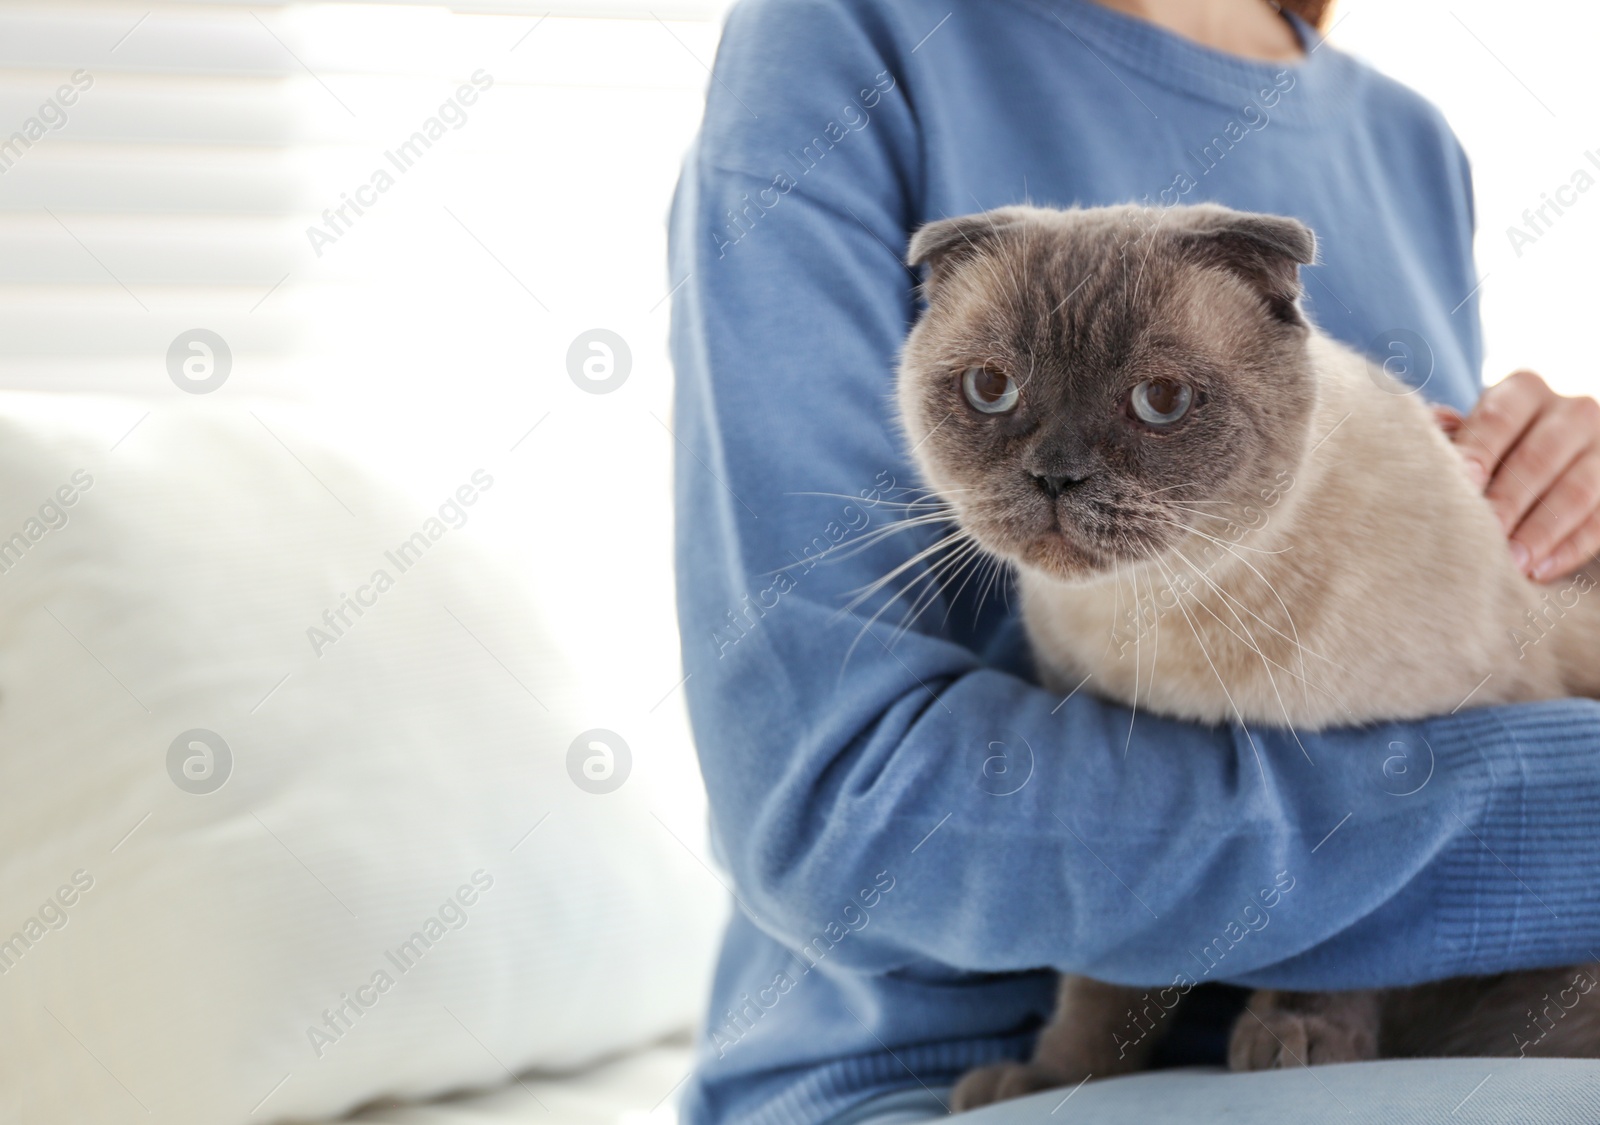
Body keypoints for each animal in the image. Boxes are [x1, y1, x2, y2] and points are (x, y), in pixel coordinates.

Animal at [889, 200, 1600, 1107]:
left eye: (1160, 400)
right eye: (991, 388)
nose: (1055, 475)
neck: (1163, 613)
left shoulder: (1391, 783)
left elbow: (1350, 944)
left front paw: (1297, 1038)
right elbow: (1104, 988)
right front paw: (1049, 1080)